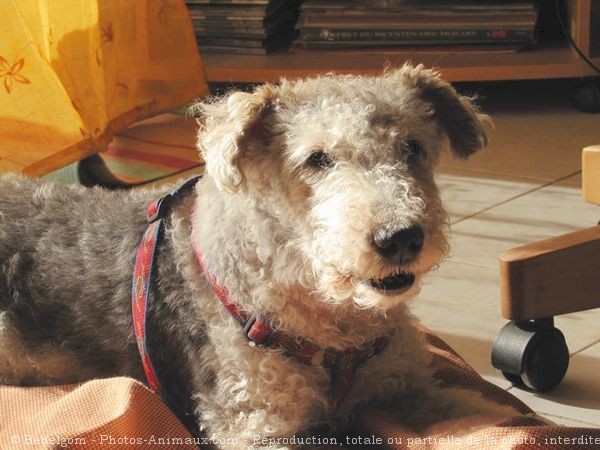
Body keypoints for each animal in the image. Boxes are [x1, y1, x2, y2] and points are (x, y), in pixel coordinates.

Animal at [0, 65, 516, 448]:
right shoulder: (258, 421)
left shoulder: (406, 389)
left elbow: (488, 414)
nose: (401, 237)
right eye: (317, 158)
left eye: (412, 146)